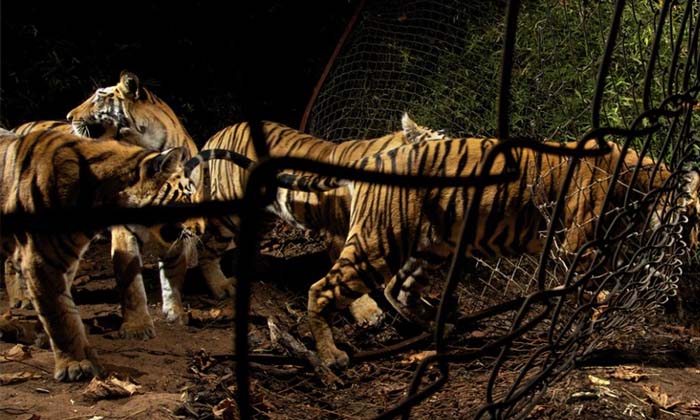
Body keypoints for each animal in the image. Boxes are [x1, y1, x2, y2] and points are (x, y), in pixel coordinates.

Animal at [0, 128, 205, 381]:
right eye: (187, 197)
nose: (201, 229)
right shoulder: (41, 259)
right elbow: (61, 315)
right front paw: (76, 364)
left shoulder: (64, 260)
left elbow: (66, 306)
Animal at [191, 114, 447, 326]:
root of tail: (219, 133)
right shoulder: (341, 235)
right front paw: (367, 312)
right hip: (229, 213)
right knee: (206, 249)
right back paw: (221, 286)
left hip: (263, 215)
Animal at [272, 135, 700, 368]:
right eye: (693, 219)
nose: (695, 247)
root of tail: (372, 156)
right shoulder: (580, 247)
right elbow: (589, 291)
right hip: (379, 244)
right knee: (322, 289)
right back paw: (331, 356)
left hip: (432, 245)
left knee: (399, 289)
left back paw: (441, 325)